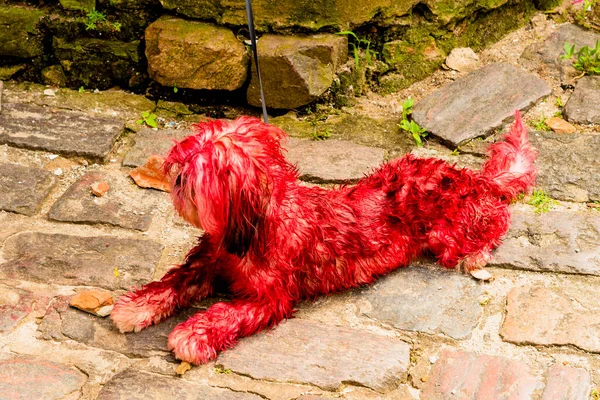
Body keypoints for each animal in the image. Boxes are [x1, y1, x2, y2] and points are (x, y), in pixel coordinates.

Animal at [110, 111, 536, 364]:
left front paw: (193, 334)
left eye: (205, 168)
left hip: (450, 233)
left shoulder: (271, 298)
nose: (177, 171)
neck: (252, 231)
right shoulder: (207, 261)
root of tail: (473, 178)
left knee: (498, 215)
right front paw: (137, 307)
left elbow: (226, 312)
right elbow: (173, 281)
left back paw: (478, 255)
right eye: (190, 149)